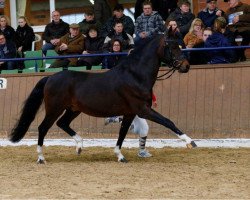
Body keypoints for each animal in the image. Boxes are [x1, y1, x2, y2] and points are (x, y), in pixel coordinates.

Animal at [9, 30, 197, 164]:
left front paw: (120, 156)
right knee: (43, 128)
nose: (186, 66)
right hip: (55, 109)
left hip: (73, 110)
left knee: (62, 123)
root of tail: (50, 77)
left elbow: (122, 133)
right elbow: (169, 122)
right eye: (172, 46)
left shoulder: (130, 113)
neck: (135, 76)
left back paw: (79, 146)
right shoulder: (143, 110)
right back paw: (41, 158)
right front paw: (190, 141)